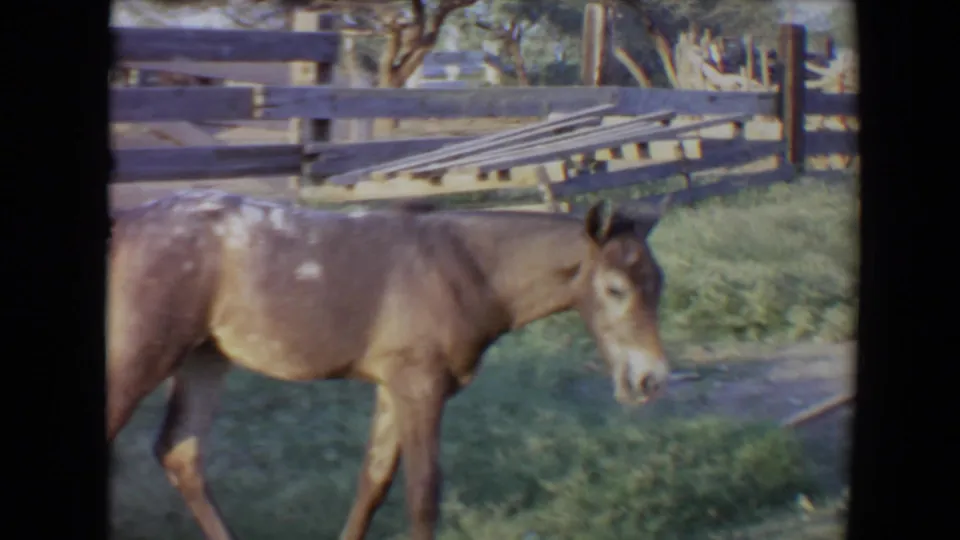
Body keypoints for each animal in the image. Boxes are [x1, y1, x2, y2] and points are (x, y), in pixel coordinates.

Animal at [107, 189, 673, 540]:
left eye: (658, 285)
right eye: (614, 289)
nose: (649, 379)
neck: (465, 268)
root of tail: (125, 224)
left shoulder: (393, 386)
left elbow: (374, 481)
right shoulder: (420, 386)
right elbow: (423, 494)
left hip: (204, 358)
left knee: (181, 453)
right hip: (140, 357)